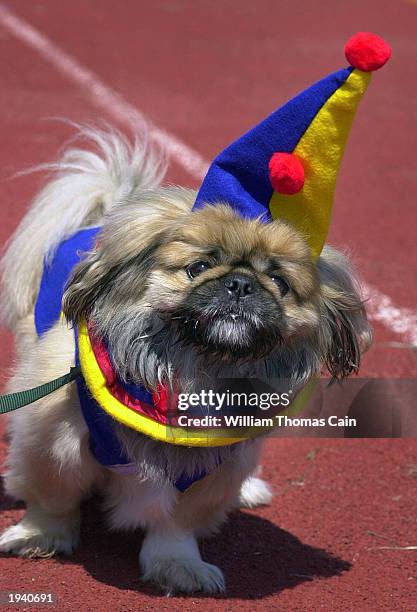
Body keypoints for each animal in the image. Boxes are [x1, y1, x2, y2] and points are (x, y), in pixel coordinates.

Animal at [0, 125, 370, 592]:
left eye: (279, 282)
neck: (192, 369)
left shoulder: (214, 463)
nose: (240, 284)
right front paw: (39, 536)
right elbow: (52, 497)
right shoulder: (52, 437)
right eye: (198, 267)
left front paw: (177, 565)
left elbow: (177, 523)